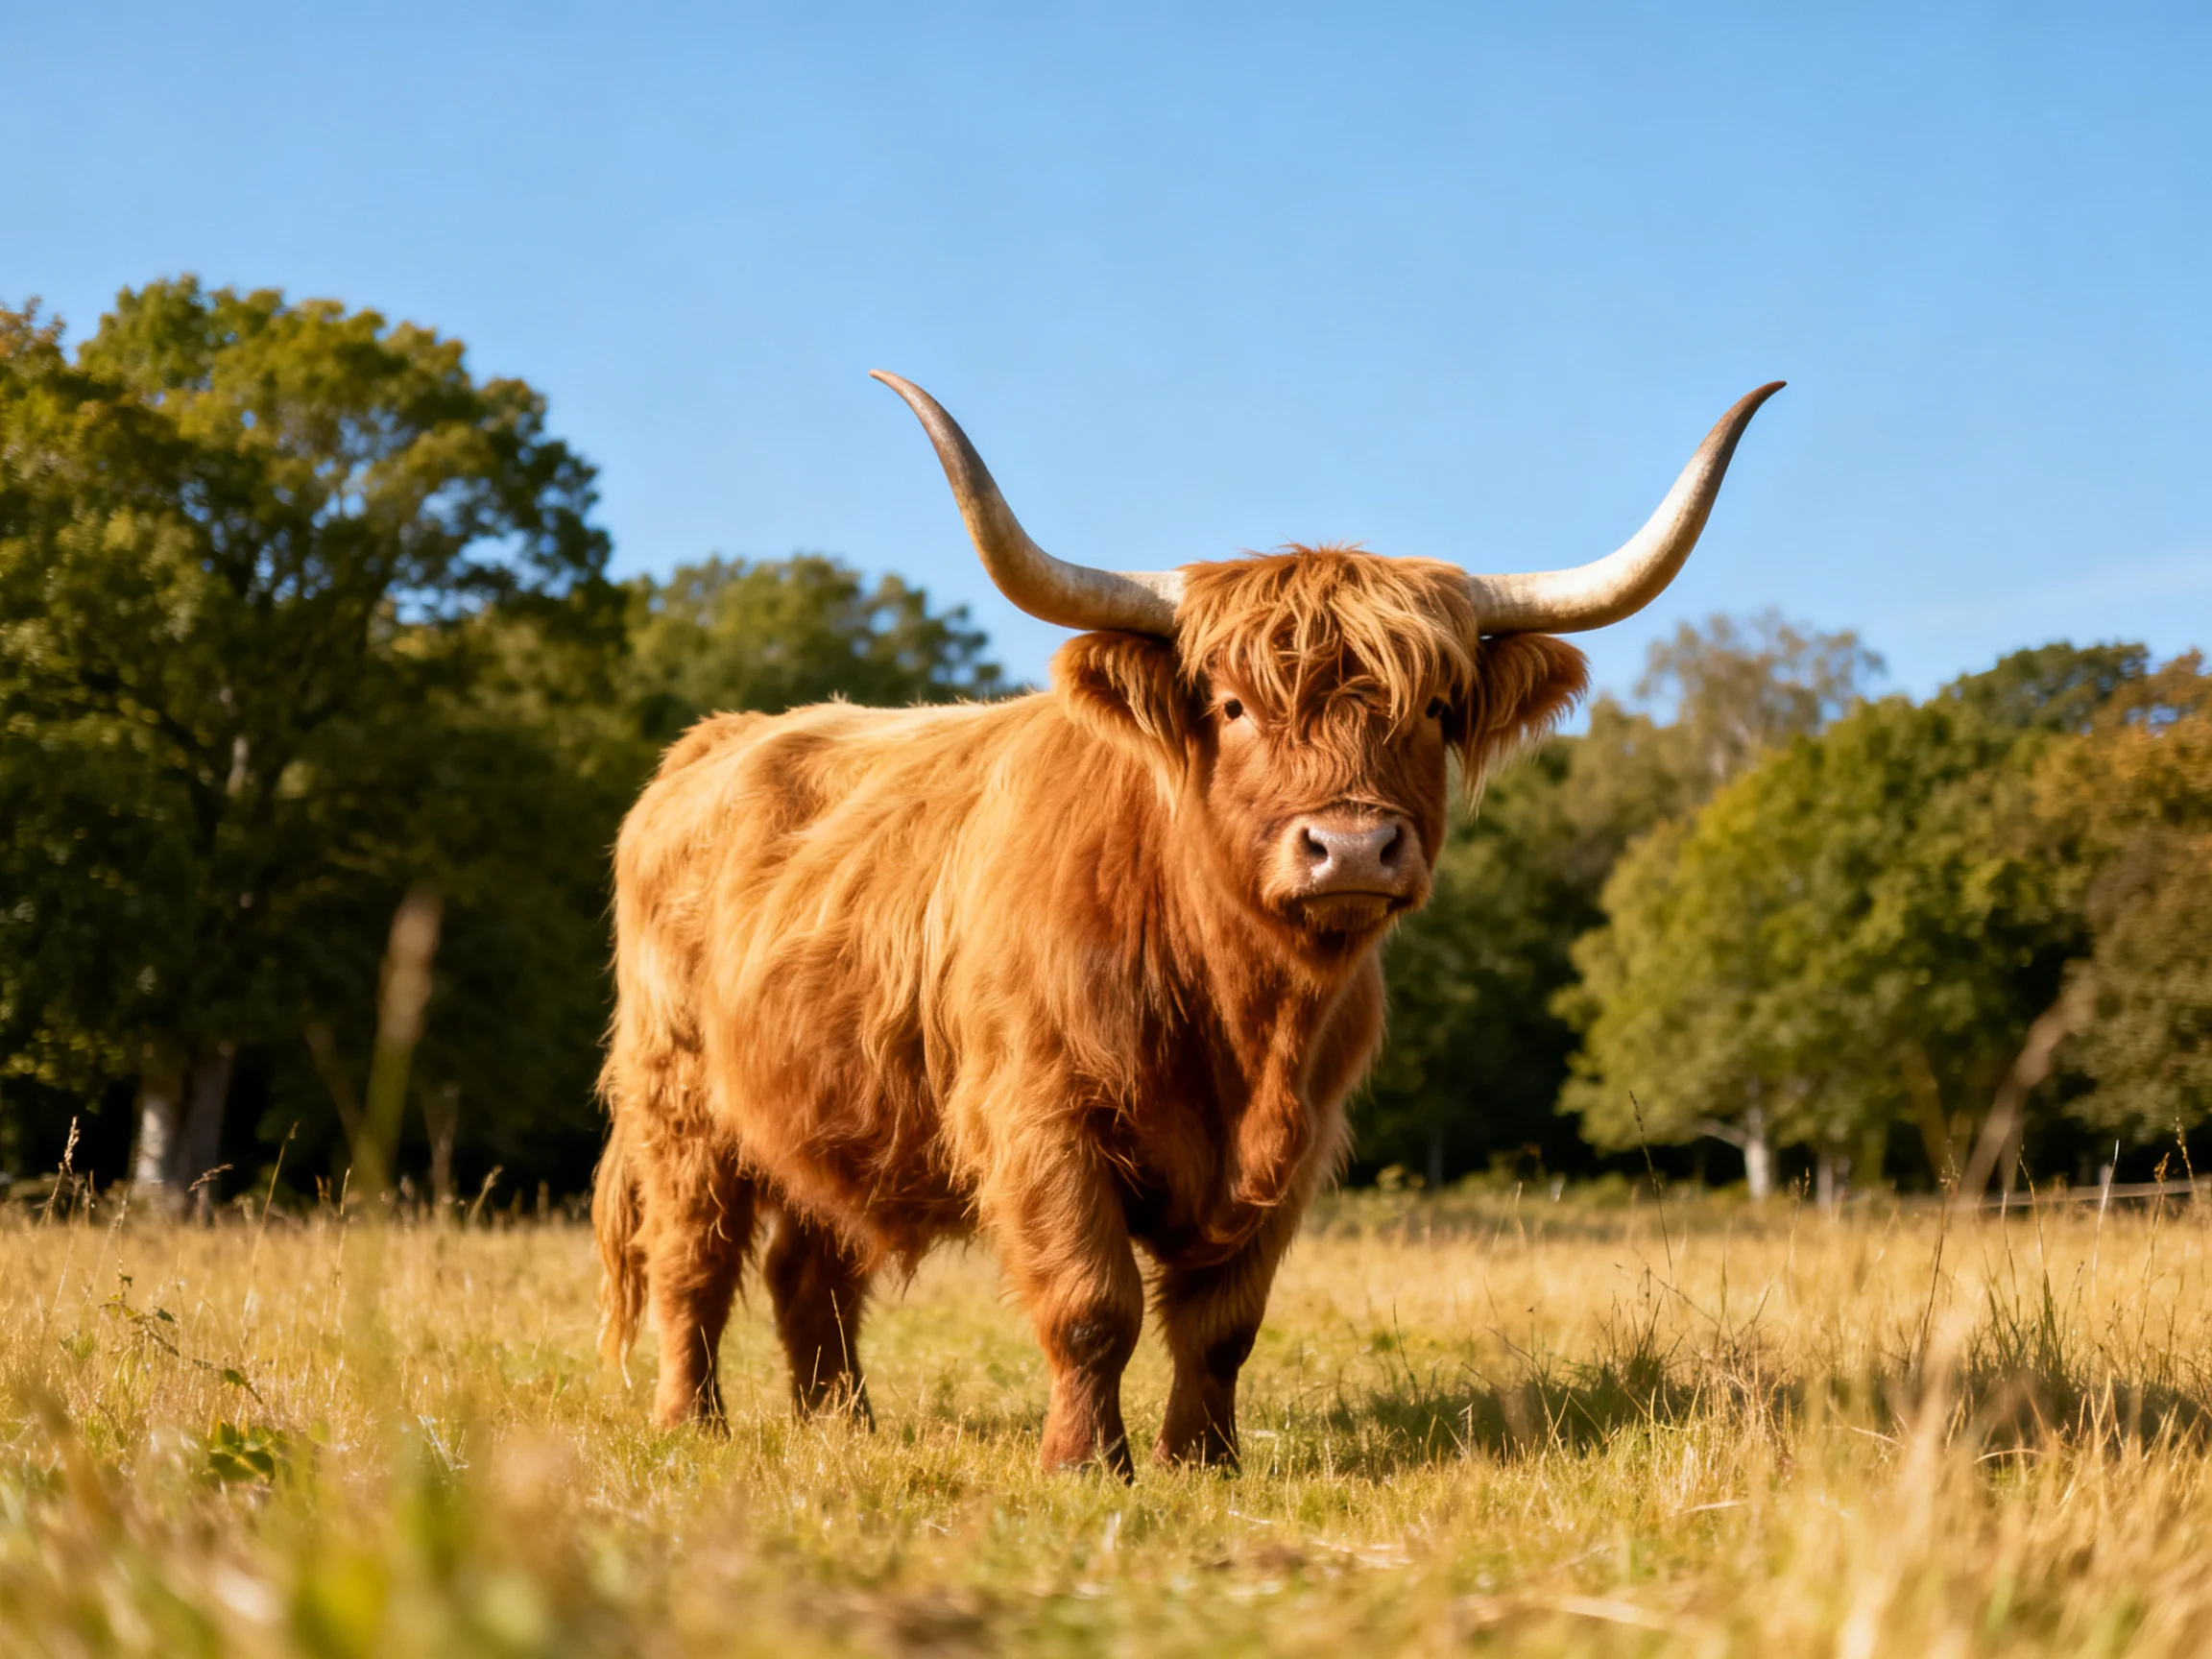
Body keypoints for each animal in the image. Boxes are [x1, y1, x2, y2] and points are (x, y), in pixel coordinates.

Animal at [593, 372, 1782, 1472]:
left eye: (1434, 709)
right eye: (1232, 705)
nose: (1352, 847)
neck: (1240, 1018)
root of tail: (720, 737)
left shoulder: (1297, 1148)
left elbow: (1221, 1327)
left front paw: (1202, 1459)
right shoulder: (1040, 1118)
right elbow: (1093, 1304)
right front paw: (1085, 1464)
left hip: (824, 1107)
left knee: (811, 1268)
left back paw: (845, 1429)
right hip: (678, 1097)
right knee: (694, 1262)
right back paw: (692, 1424)